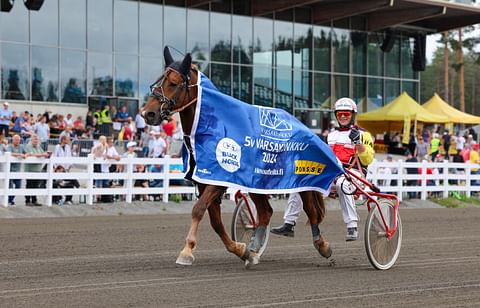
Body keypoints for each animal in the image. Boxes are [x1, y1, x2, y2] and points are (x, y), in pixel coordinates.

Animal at [141, 47, 332, 268]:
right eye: (157, 82)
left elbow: (197, 210)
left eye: (173, 83)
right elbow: (215, 222)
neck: (211, 126)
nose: (148, 113)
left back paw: (322, 245)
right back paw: (254, 250)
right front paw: (241, 250)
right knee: (265, 212)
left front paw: (187, 251)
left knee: (310, 209)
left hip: (301, 177)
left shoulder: (219, 178)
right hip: (258, 182)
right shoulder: (205, 181)